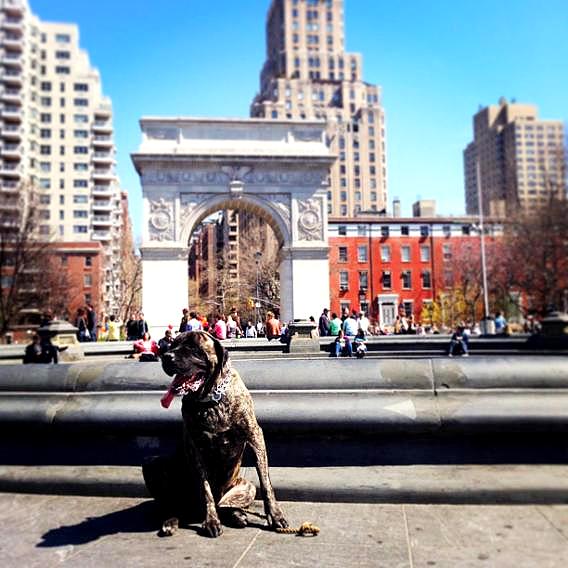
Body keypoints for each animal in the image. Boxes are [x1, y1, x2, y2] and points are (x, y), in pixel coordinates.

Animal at [140, 330, 286, 536]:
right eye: (172, 345)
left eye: (193, 348)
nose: (167, 357)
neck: (211, 397)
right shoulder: (196, 448)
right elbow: (205, 487)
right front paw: (211, 521)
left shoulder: (255, 436)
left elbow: (266, 482)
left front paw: (275, 515)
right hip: (152, 465)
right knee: (173, 505)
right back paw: (171, 520)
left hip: (246, 487)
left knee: (226, 505)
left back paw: (237, 515)